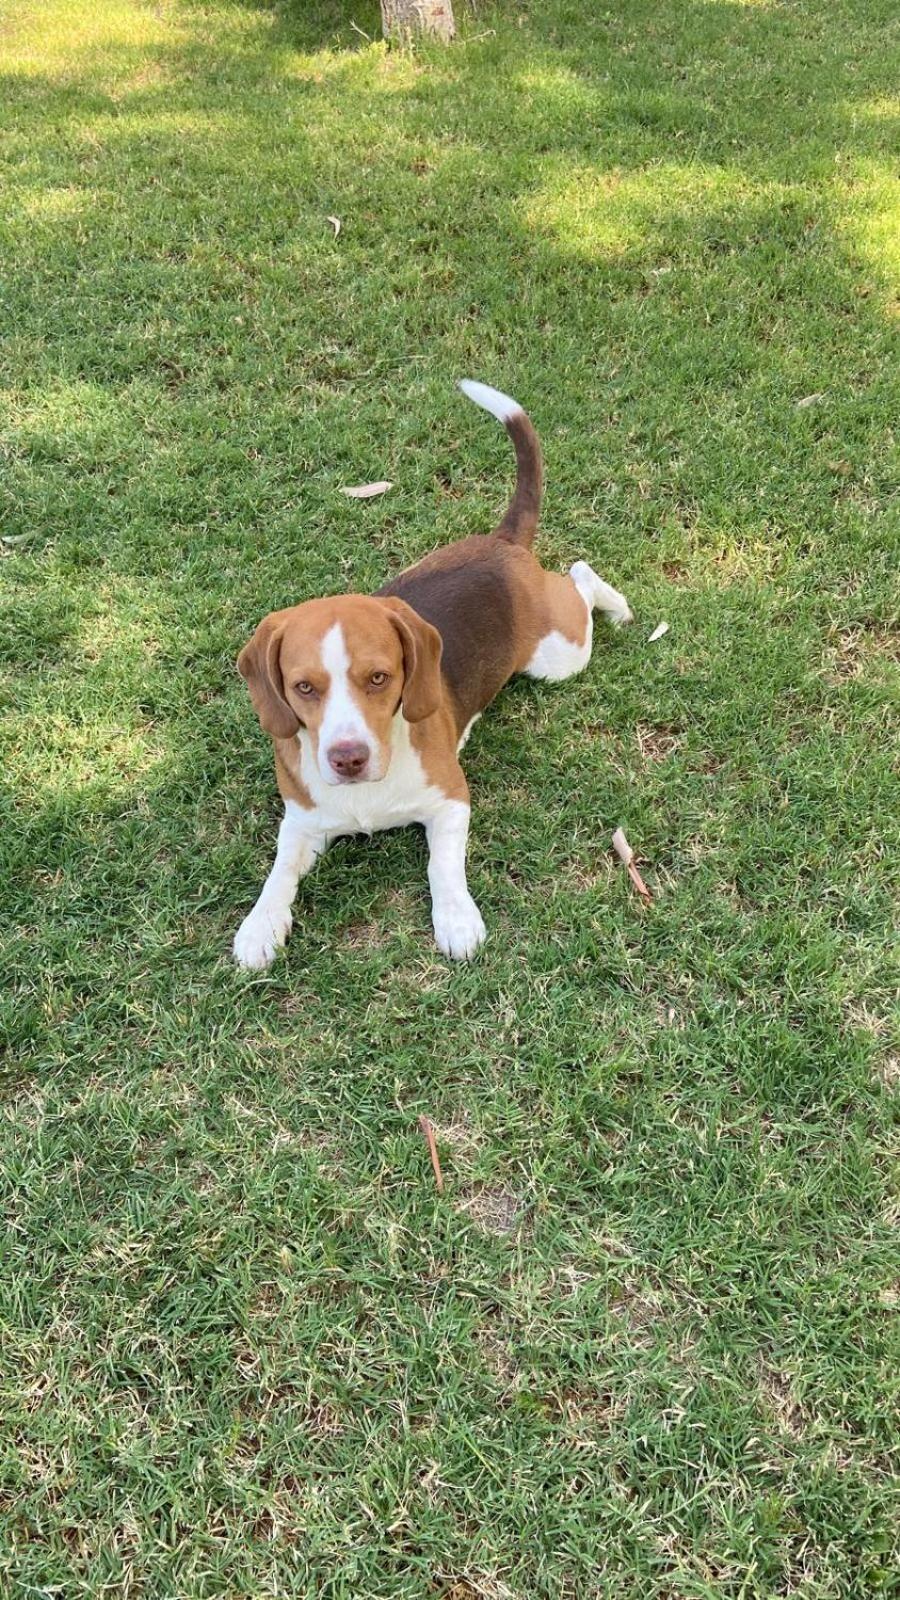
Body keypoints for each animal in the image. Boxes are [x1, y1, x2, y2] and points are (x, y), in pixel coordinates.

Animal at [238, 380, 630, 966]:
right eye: (303, 687)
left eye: (379, 678)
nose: (348, 759)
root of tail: (504, 543)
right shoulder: (302, 822)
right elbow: (278, 872)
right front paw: (260, 925)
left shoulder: (450, 802)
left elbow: (441, 865)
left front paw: (456, 918)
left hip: (559, 655)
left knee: (580, 575)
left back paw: (618, 606)